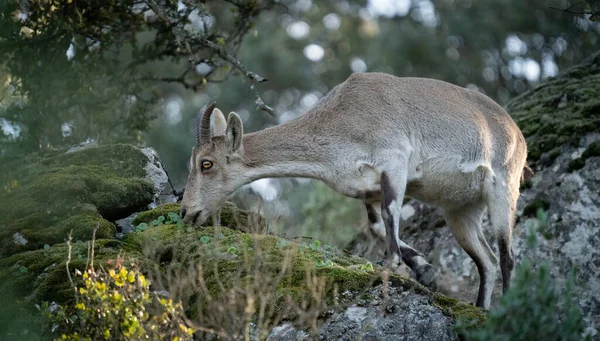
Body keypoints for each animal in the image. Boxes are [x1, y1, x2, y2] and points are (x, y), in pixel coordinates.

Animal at [179, 73, 528, 310]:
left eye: (206, 164)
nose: (187, 212)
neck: (341, 120)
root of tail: (515, 130)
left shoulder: (394, 162)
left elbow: (390, 216)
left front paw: (393, 270)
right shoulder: (366, 189)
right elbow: (375, 226)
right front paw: (424, 269)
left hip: (503, 187)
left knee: (507, 255)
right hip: (461, 211)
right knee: (486, 261)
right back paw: (481, 309)